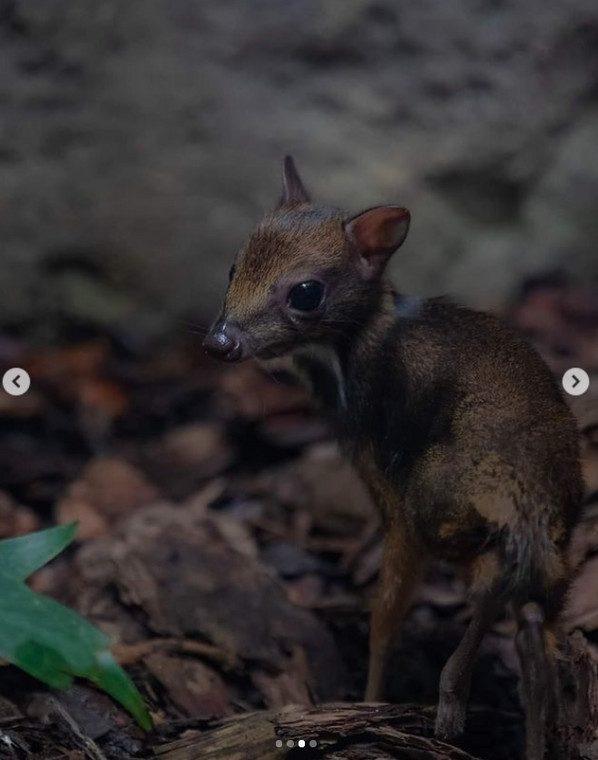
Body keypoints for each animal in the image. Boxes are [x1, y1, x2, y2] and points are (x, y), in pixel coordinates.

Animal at [204, 156, 584, 760]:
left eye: (305, 293)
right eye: (234, 265)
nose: (220, 343)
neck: (363, 348)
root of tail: (524, 506)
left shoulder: (389, 492)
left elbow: (384, 616)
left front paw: (370, 705)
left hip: (434, 508)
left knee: (482, 592)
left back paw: (451, 700)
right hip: (553, 553)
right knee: (533, 616)